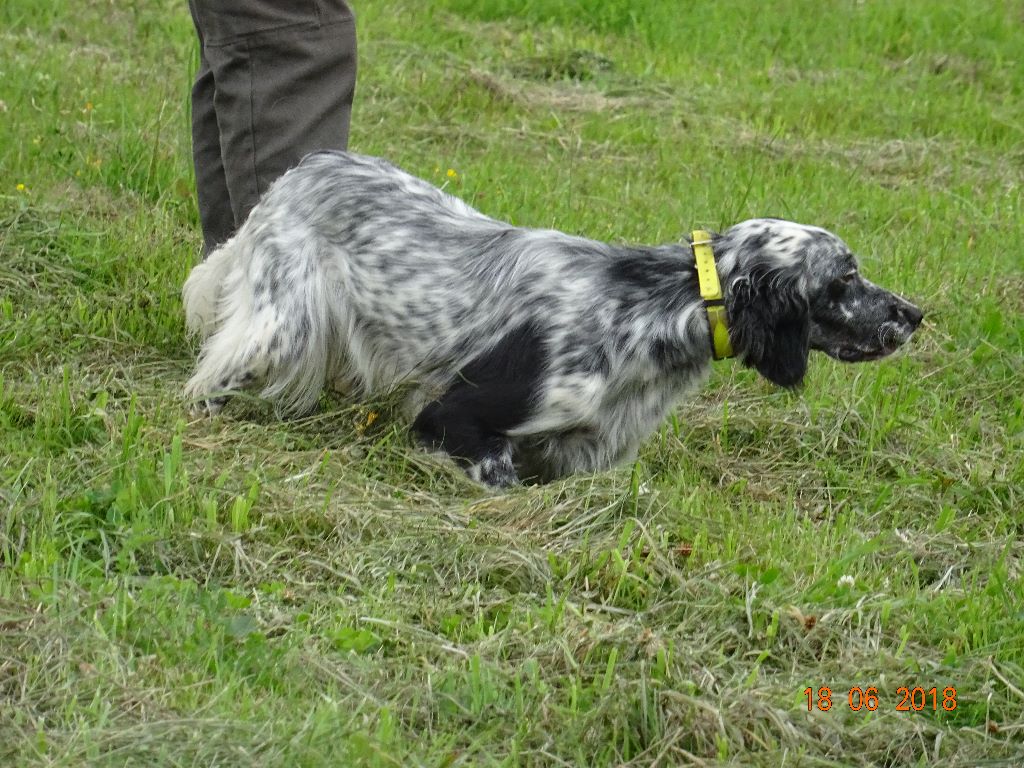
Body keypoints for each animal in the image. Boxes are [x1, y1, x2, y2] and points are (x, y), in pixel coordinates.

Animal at [180, 151, 925, 487]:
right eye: (844, 278)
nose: (916, 313)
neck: (654, 308)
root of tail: (299, 170)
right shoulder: (458, 418)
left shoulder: (579, 452)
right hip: (282, 327)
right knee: (212, 375)